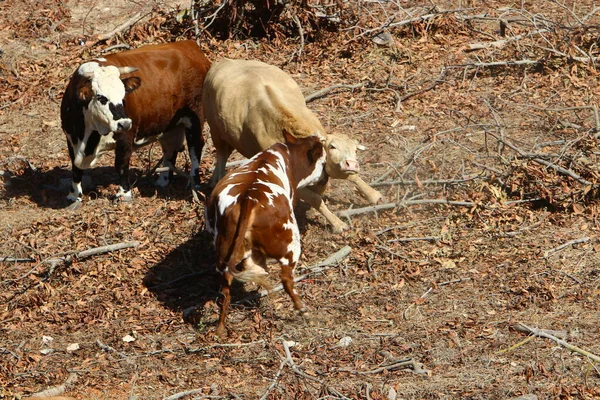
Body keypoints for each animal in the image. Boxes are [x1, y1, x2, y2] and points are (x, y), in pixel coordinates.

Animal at [61, 40, 211, 209]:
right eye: (101, 97)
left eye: (123, 96)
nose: (125, 123)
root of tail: (190, 45)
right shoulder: (70, 138)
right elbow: (75, 168)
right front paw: (74, 195)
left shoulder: (125, 138)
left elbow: (121, 165)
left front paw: (124, 194)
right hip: (168, 125)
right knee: (170, 150)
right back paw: (163, 180)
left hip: (195, 116)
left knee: (195, 146)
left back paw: (195, 183)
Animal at [200, 57, 380, 231]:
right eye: (332, 147)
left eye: (354, 150)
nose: (351, 164)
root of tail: (223, 61)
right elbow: (315, 199)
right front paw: (337, 224)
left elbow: (353, 177)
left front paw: (373, 195)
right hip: (214, 127)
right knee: (221, 153)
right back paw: (217, 179)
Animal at [206, 132, 328, 338]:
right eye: (324, 162)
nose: (326, 178)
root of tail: (248, 198)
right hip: (291, 246)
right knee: (286, 279)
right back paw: (302, 309)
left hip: (224, 255)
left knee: (225, 290)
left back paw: (221, 327)